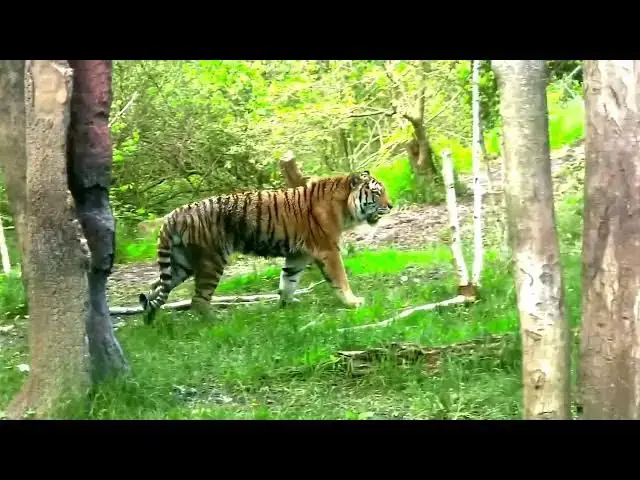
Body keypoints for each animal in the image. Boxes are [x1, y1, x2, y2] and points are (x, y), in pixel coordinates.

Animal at [138, 170, 393, 325]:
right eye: (377, 192)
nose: (391, 205)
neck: (345, 207)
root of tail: (173, 214)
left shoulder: (298, 254)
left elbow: (288, 281)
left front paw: (286, 305)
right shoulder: (328, 250)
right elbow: (340, 278)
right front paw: (353, 302)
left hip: (181, 263)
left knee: (155, 288)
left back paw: (150, 320)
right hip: (212, 261)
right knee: (198, 300)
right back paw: (216, 321)